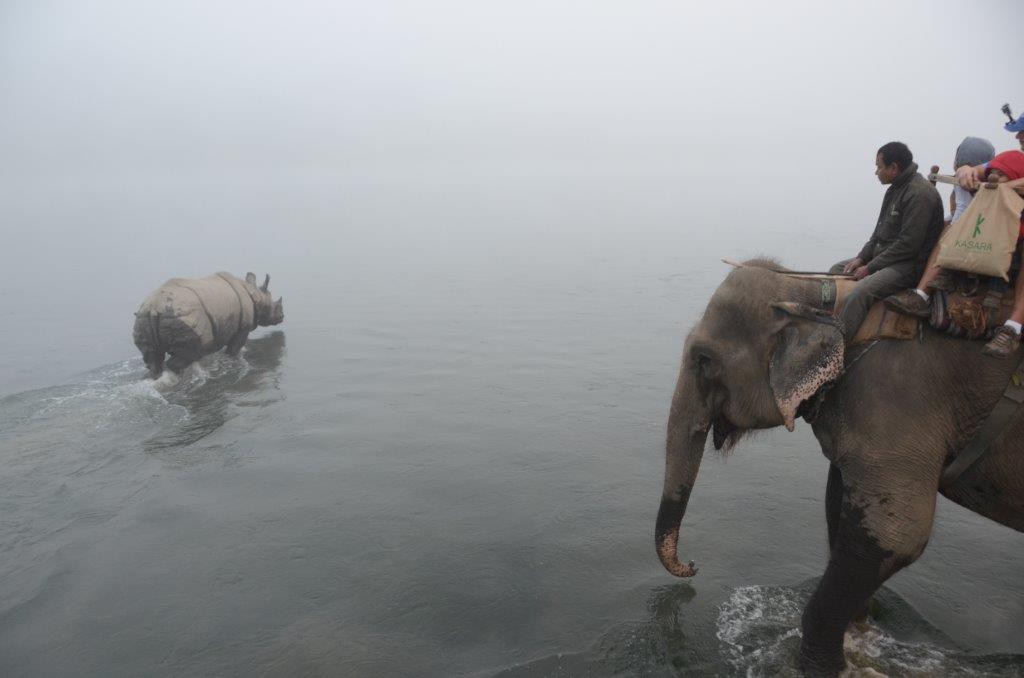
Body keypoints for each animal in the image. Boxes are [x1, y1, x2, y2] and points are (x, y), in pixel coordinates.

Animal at [655, 258, 1024, 675]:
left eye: (704, 361)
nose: (693, 565)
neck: (824, 298)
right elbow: (839, 506)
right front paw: (857, 641)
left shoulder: (896, 400)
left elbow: (898, 536)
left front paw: (822, 668)